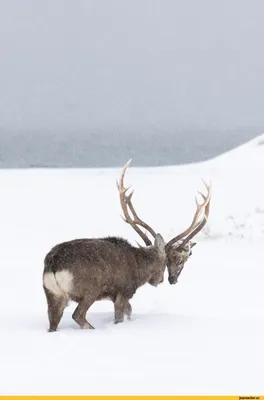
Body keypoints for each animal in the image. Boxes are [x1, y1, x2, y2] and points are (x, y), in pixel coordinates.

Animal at [42, 159, 211, 332]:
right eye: (167, 261)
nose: (163, 280)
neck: (139, 268)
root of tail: (54, 266)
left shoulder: (115, 294)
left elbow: (129, 310)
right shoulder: (123, 290)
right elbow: (121, 315)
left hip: (52, 293)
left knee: (53, 321)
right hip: (90, 289)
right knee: (78, 315)